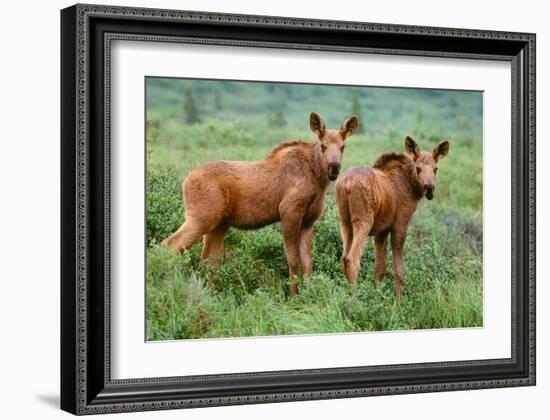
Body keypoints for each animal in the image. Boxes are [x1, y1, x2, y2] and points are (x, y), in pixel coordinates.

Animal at [163, 111, 362, 296]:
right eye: (323, 146)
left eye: (343, 147)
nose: (334, 167)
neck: (317, 181)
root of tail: (185, 181)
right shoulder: (289, 211)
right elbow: (293, 259)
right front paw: (293, 298)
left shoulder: (309, 220)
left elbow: (308, 263)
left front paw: (308, 296)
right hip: (201, 218)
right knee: (170, 245)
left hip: (219, 225)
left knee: (209, 261)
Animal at [334, 136, 450, 296]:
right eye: (418, 168)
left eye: (435, 169)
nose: (429, 188)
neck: (411, 186)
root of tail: (346, 183)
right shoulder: (400, 225)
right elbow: (399, 271)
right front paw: (398, 301)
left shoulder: (381, 230)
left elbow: (380, 267)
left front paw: (378, 294)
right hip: (363, 220)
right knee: (352, 259)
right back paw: (354, 297)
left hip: (344, 221)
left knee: (343, 257)